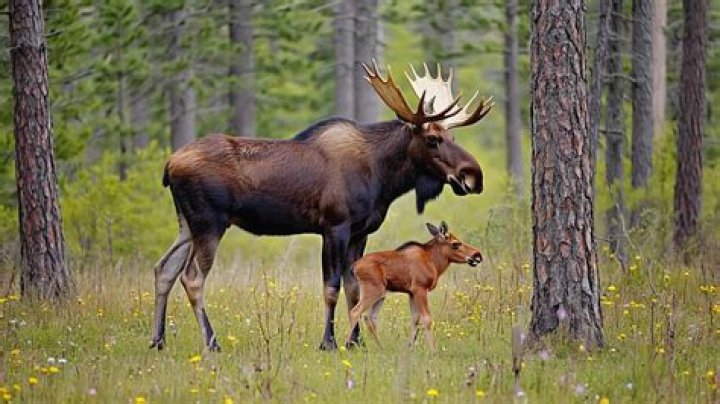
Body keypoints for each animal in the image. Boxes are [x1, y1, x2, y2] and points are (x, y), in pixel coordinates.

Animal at [346, 221, 483, 350]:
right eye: (455, 243)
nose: (477, 255)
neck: (434, 262)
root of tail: (354, 267)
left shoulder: (411, 293)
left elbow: (415, 319)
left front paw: (410, 347)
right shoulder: (420, 289)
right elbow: (427, 319)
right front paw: (433, 350)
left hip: (381, 295)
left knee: (370, 318)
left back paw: (381, 347)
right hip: (373, 291)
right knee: (355, 312)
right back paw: (346, 346)